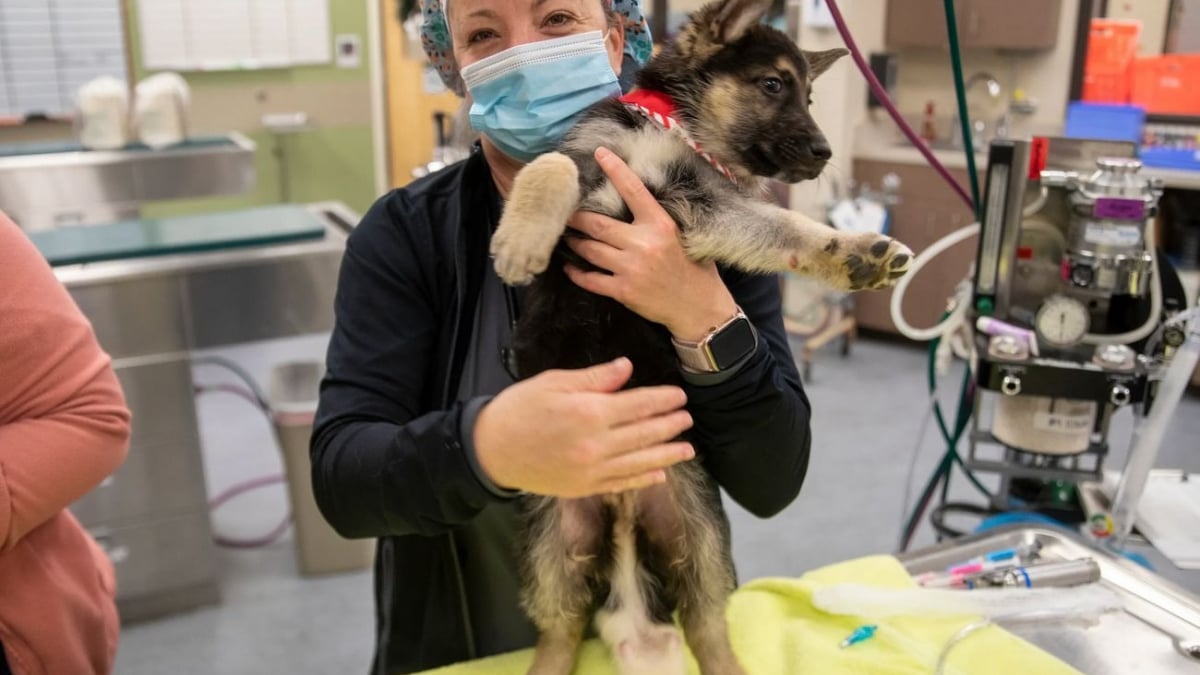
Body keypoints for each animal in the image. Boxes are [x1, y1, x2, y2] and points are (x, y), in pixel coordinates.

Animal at [487, 2, 907, 667]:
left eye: (811, 95)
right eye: (773, 85)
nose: (823, 153)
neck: (677, 132)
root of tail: (622, 501)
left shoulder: (708, 211)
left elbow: (786, 226)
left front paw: (855, 254)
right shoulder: (596, 160)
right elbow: (549, 164)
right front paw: (521, 240)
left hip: (703, 540)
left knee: (708, 628)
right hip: (551, 546)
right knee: (559, 631)